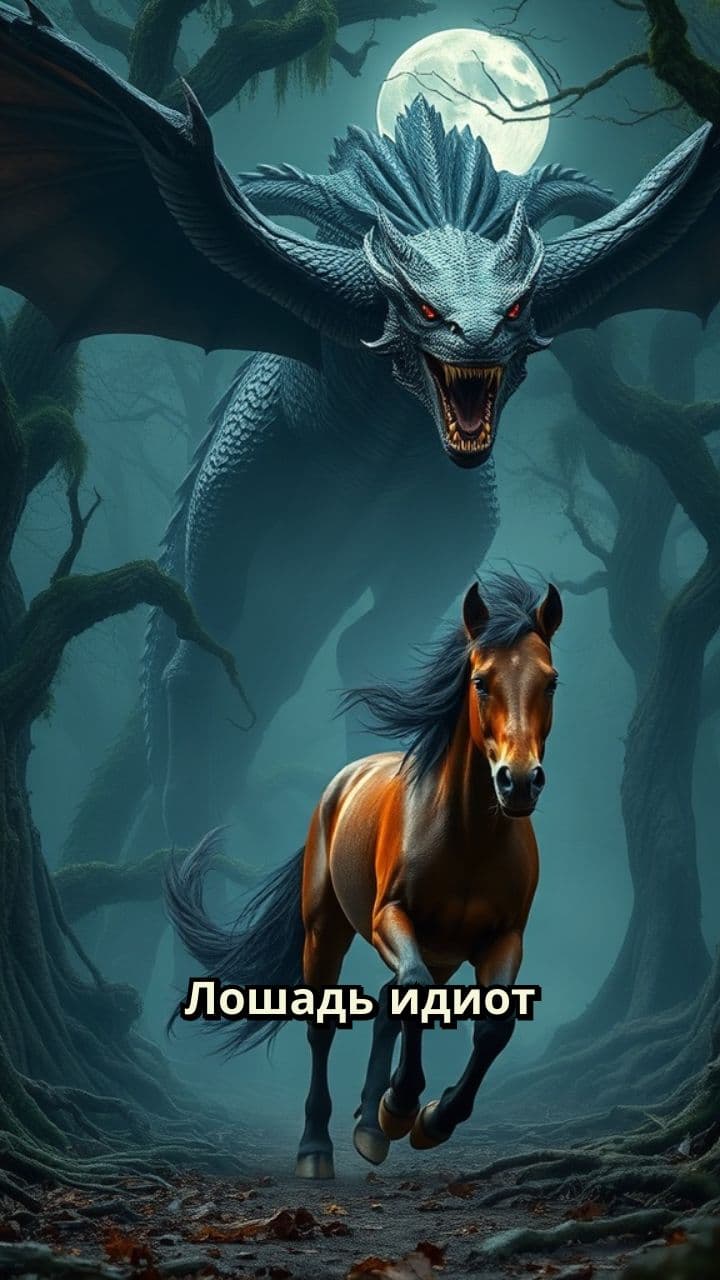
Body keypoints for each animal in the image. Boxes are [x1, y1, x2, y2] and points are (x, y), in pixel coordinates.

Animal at [165, 572, 562, 1179]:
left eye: (551, 682)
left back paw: (371, 1128)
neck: (467, 838)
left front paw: (430, 1118)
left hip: (440, 950)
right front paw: (401, 1106)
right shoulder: (389, 917)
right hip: (327, 930)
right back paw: (318, 1147)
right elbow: (412, 995)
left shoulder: (503, 938)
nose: (518, 782)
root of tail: (342, 783)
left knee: (388, 1006)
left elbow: (492, 1026)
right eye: (480, 681)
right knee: (326, 1024)